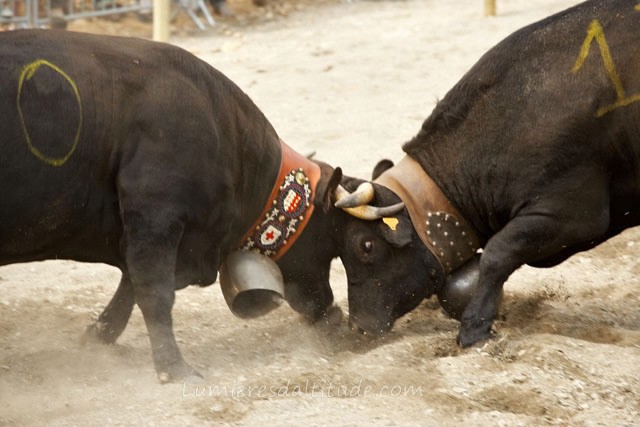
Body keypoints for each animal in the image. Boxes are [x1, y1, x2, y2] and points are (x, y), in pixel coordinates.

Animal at [0, 30, 396, 384]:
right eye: (363, 245)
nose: (337, 316)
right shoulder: (155, 219)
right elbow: (154, 291)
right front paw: (173, 368)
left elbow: (131, 285)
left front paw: (99, 335)